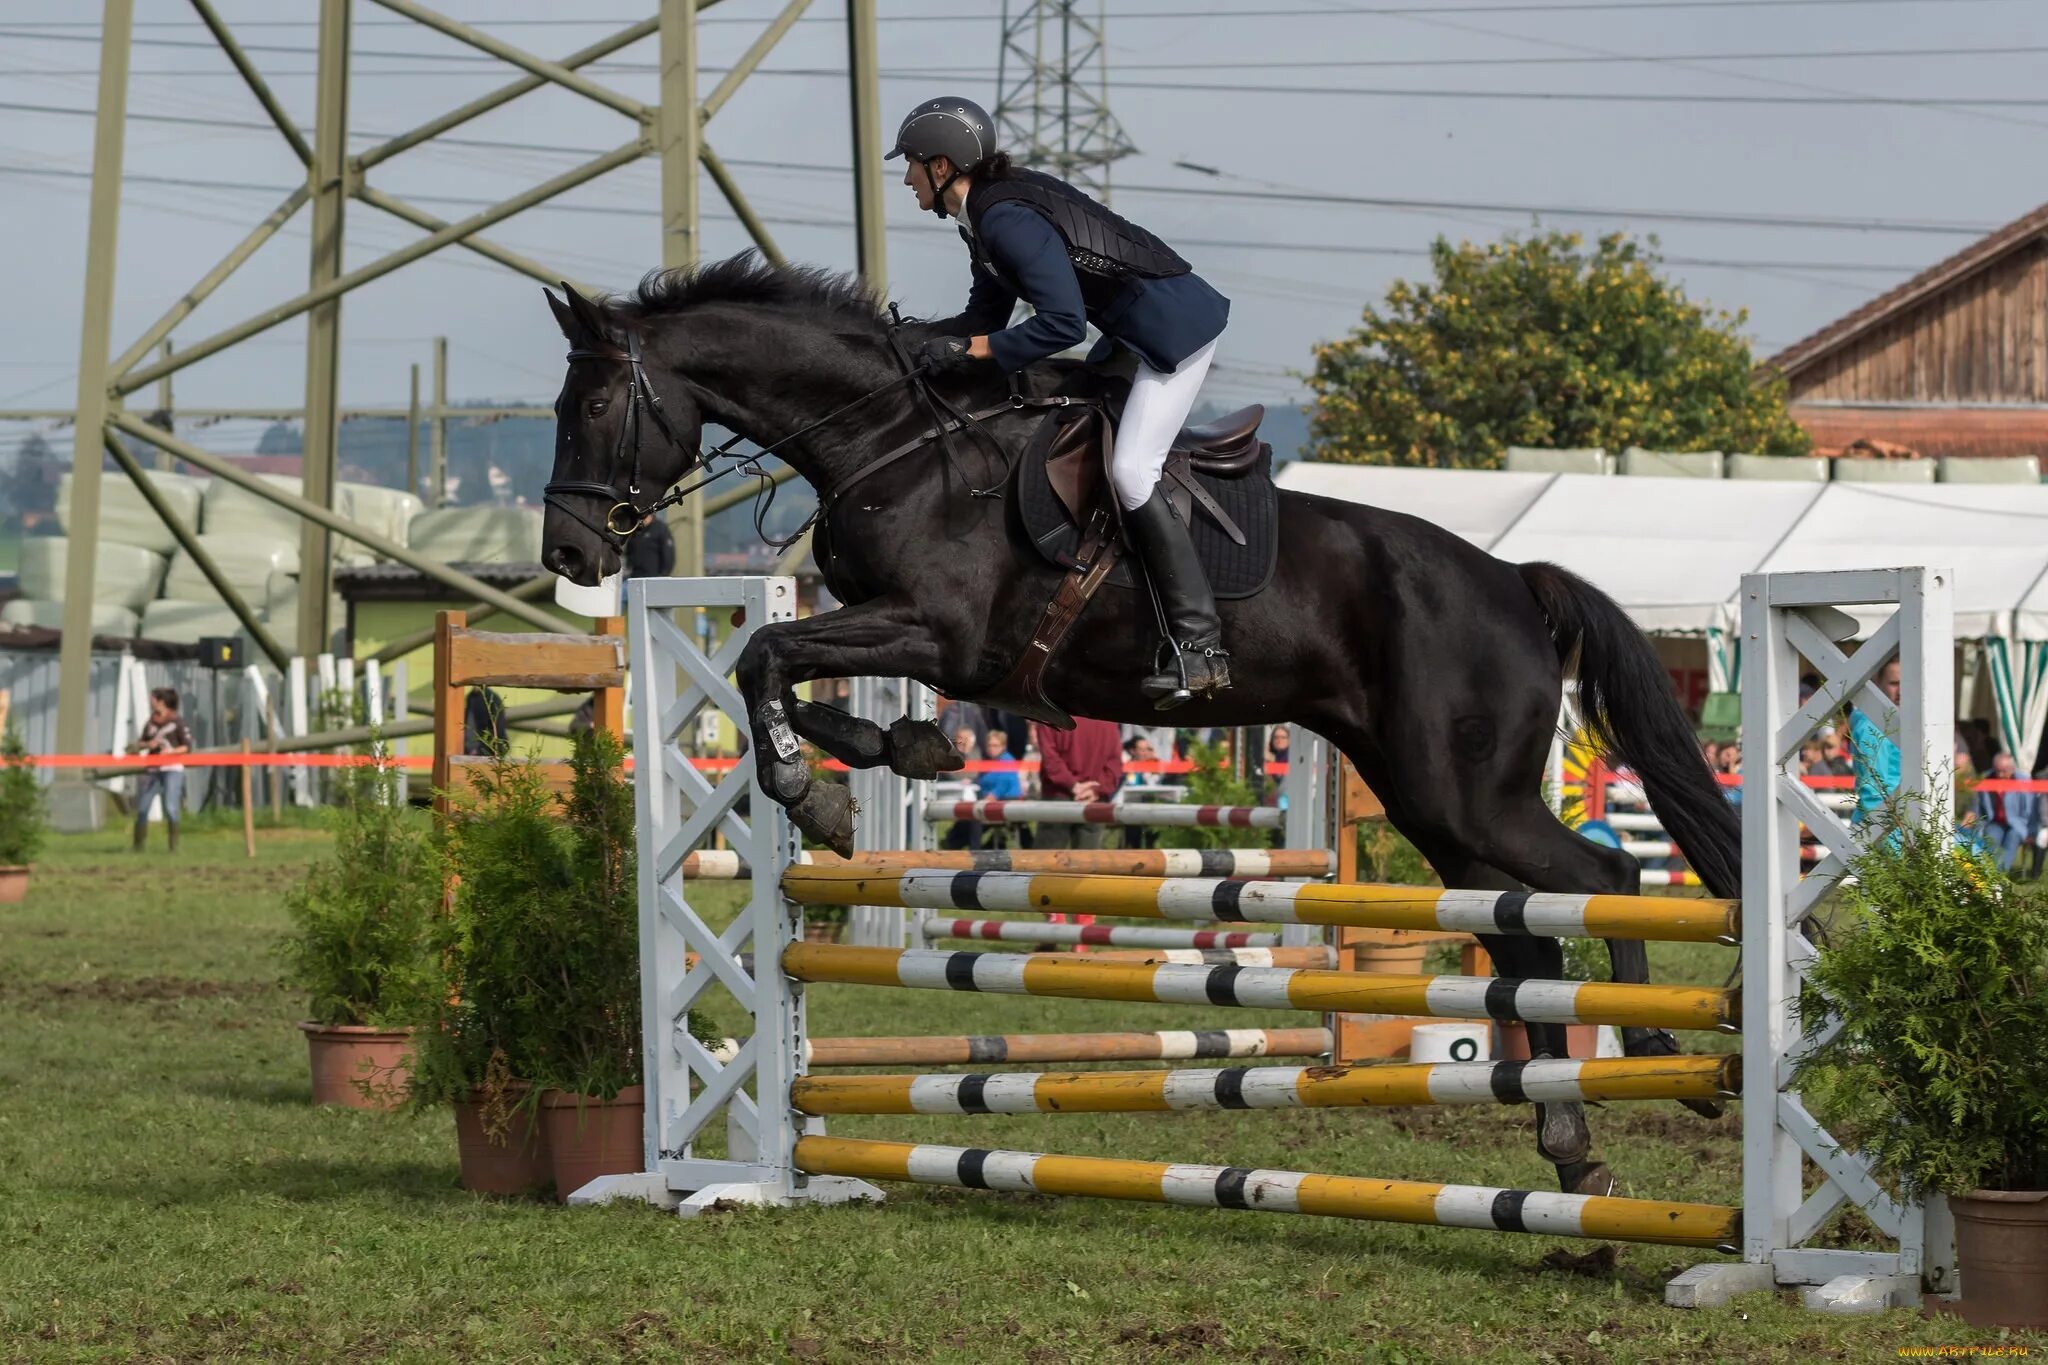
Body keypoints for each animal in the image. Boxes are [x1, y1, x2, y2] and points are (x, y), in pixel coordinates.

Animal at [536, 253, 1736, 1195]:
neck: (897, 443)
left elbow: (763, 657)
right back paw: (1567, 1138)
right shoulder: (913, 640)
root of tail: (1514, 579)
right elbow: (788, 675)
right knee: (1520, 931)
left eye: (589, 408)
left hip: (1462, 787)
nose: (569, 555)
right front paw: (889, 759)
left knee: (1603, 876)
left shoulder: (938, 634)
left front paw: (809, 793)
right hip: (1426, 798)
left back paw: (1655, 1047)